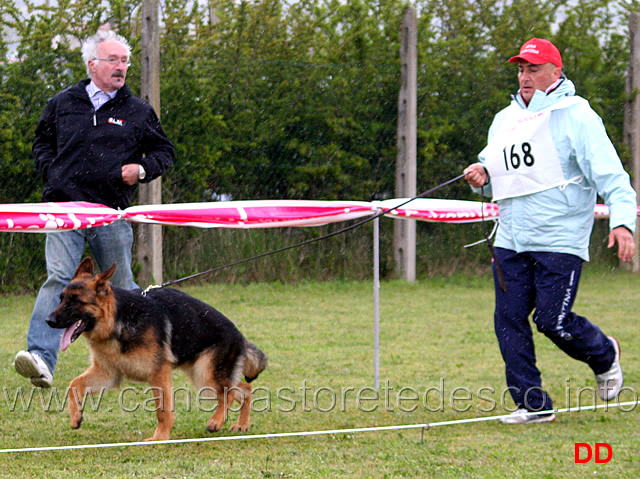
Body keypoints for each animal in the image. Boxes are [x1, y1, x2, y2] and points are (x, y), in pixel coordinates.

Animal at [47, 258, 268, 442]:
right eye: (61, 298)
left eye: (76, 301)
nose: (48, 321)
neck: (118, 321)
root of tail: (239, 335)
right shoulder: (108, 374)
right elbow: (74, 384)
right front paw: (76, 416)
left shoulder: (158, 373)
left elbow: (162, 410)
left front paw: (160, 438)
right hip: (202, 375)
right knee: (244, 389)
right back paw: (241, 425)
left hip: (205, 375)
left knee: (229, 393)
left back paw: (217, 422)